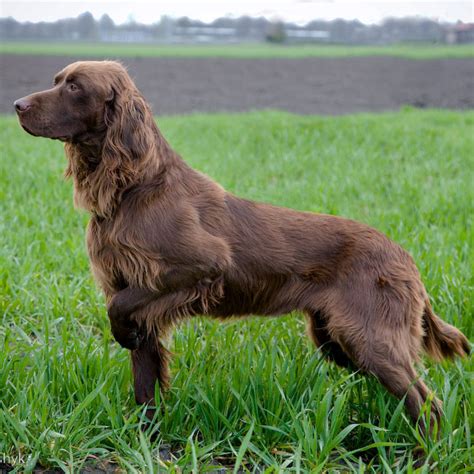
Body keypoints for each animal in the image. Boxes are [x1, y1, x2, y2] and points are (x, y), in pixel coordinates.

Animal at [14, 60, 470, 434]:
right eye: (57, 80)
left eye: (75, 87)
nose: (17, 104)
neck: (133, 188)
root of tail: (405, 256)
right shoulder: (132, 287)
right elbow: (145, 384)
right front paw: (146, 441)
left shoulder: (199, 266)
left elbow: (120, 308)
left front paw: (123, 334)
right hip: (336, 339)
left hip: (369, 338)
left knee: (427, 404)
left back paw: (422, 453)